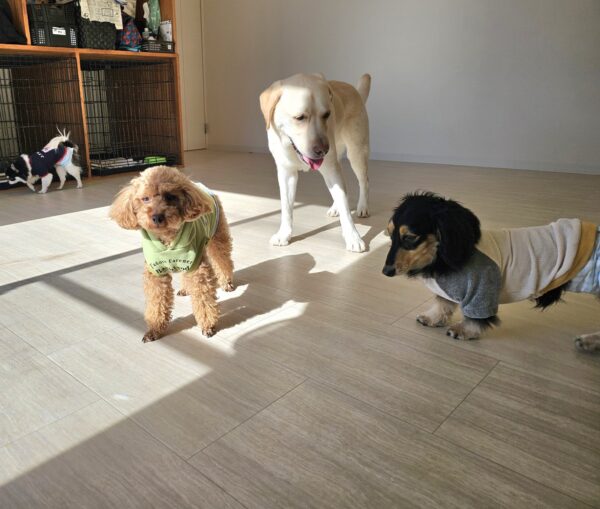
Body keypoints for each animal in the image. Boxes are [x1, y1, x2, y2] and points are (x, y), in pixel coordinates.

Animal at [109, 166, 234, 342]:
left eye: (170, 196)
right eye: (145, 198)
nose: (156, 217)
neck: (168, 239)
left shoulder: (196, 267)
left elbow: (203, 300)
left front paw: (208, 326)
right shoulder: (156, 273)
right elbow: (156, 303)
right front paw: (154, 330)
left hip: (217, 236)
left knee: (222, 260)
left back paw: (226, 283)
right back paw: (186, 289)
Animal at [260, 72, 371, 252]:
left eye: (327, 114)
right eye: (299, 117)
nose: (323, 150)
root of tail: (355, 90)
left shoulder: (331, 168)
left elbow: (346, 208)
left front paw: (353, 237)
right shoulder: (286, 173)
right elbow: (286, 207)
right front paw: (284, 234)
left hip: (356, 152)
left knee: (363, 181)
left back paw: (363, 207)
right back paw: (335, 208)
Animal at [382, 192, 600, 353]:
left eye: (410, 237)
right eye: (389, 234)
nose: (386, 271)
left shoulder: (480, 290)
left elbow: (474, 317)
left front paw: (464, 330)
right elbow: (442, 304)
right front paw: (432, 318)